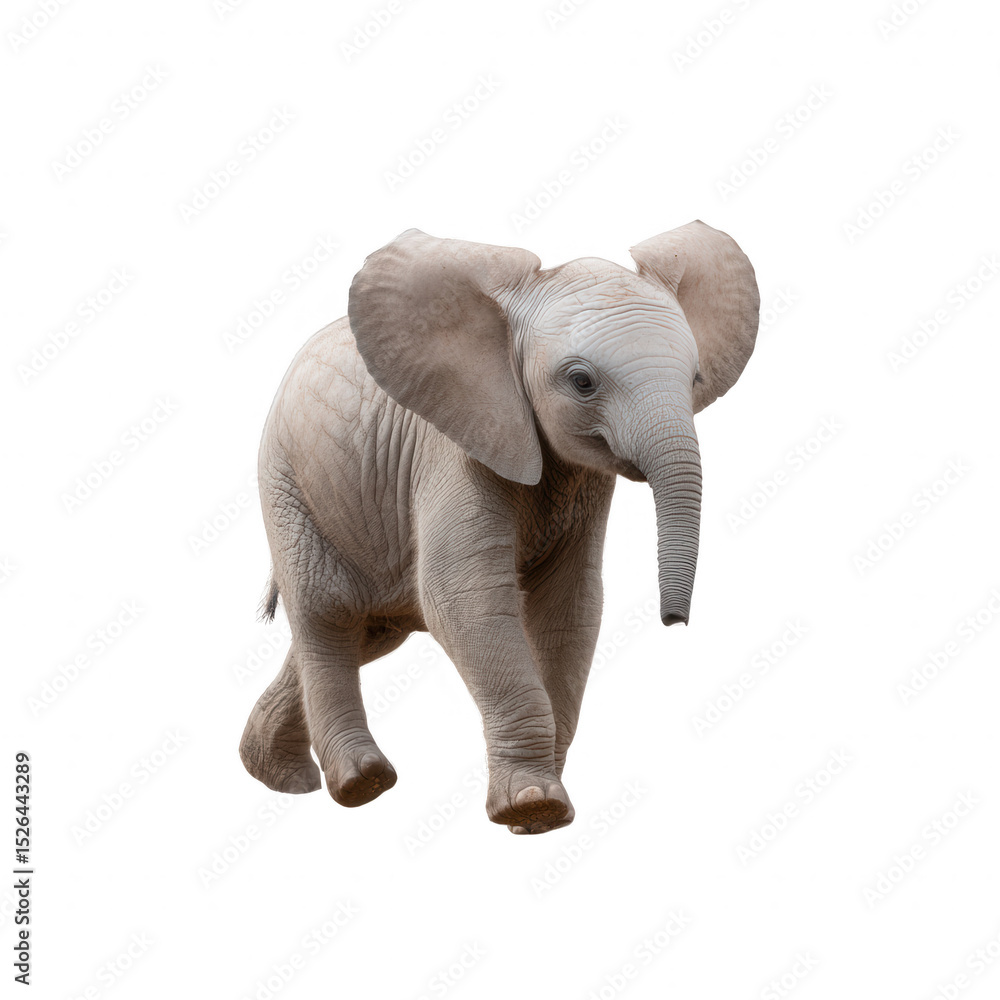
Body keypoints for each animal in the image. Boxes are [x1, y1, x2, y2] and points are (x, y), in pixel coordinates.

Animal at [239, 221, 759, 835]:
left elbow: (570, 605)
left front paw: (537, 815)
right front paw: (533, 804)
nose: (674, 621)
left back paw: (277, 776)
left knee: (368, 632)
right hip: (286, 478)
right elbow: (463, 596)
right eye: (581, 382)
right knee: (327, 611)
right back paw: (359, 782)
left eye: (696, 377)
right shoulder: (455, 445)